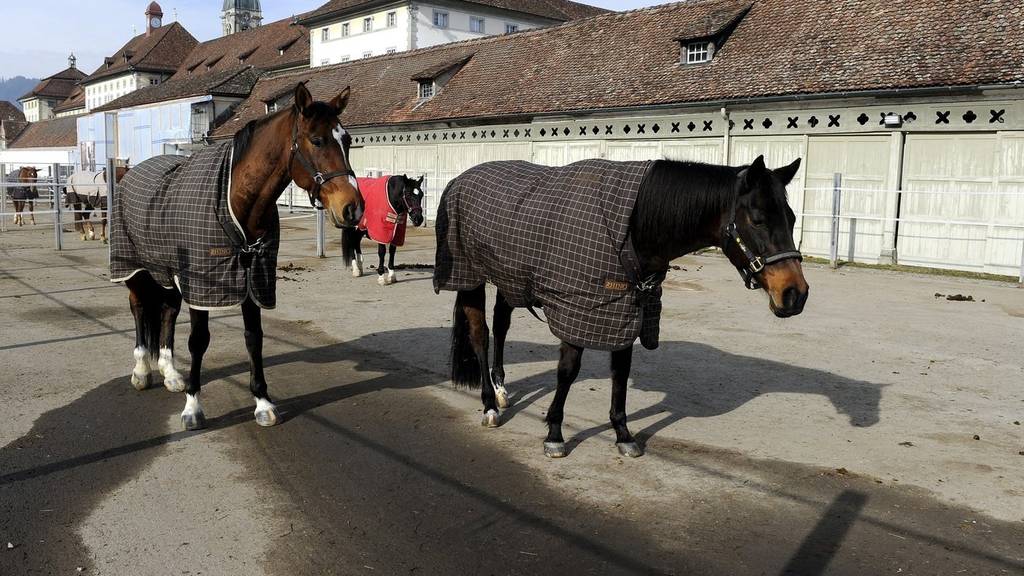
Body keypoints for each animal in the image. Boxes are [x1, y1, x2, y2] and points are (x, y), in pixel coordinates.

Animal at [115, 83, 364, 428]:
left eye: (348, 140)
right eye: (317, 140)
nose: (353, 208)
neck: (233, 199)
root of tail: (130, 172)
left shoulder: (252, 278)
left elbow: (253, 337)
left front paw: (263, 402)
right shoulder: (204, 283)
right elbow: (199, 340)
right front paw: (193, 407)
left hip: (168, 273)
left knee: (167, 312)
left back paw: (170, 373)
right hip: (135, 268)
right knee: (139, 308)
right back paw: (141, 371)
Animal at [432, 153, 806, 457]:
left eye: (791, 218)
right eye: (757, 219)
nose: (795, 294)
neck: (632, 226)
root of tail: (459, 180)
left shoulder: (626, 309)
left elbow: (621, 373)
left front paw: (623, 434)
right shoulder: (579, 308)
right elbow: (567, 371)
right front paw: (555, 434)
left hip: (509, 278)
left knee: (501, 325)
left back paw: (501, 391)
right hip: (470, 276)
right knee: (480, 335)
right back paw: (488, 406)